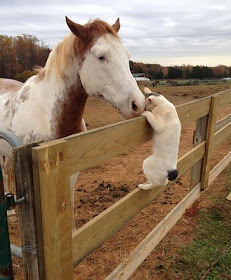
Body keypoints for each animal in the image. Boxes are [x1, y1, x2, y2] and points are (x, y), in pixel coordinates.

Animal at [0, 17, 144, 230]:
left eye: (126, 56)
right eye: (101, 57)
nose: (138, 104)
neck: (51, 116)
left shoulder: (71, 169)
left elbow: (69, 201)